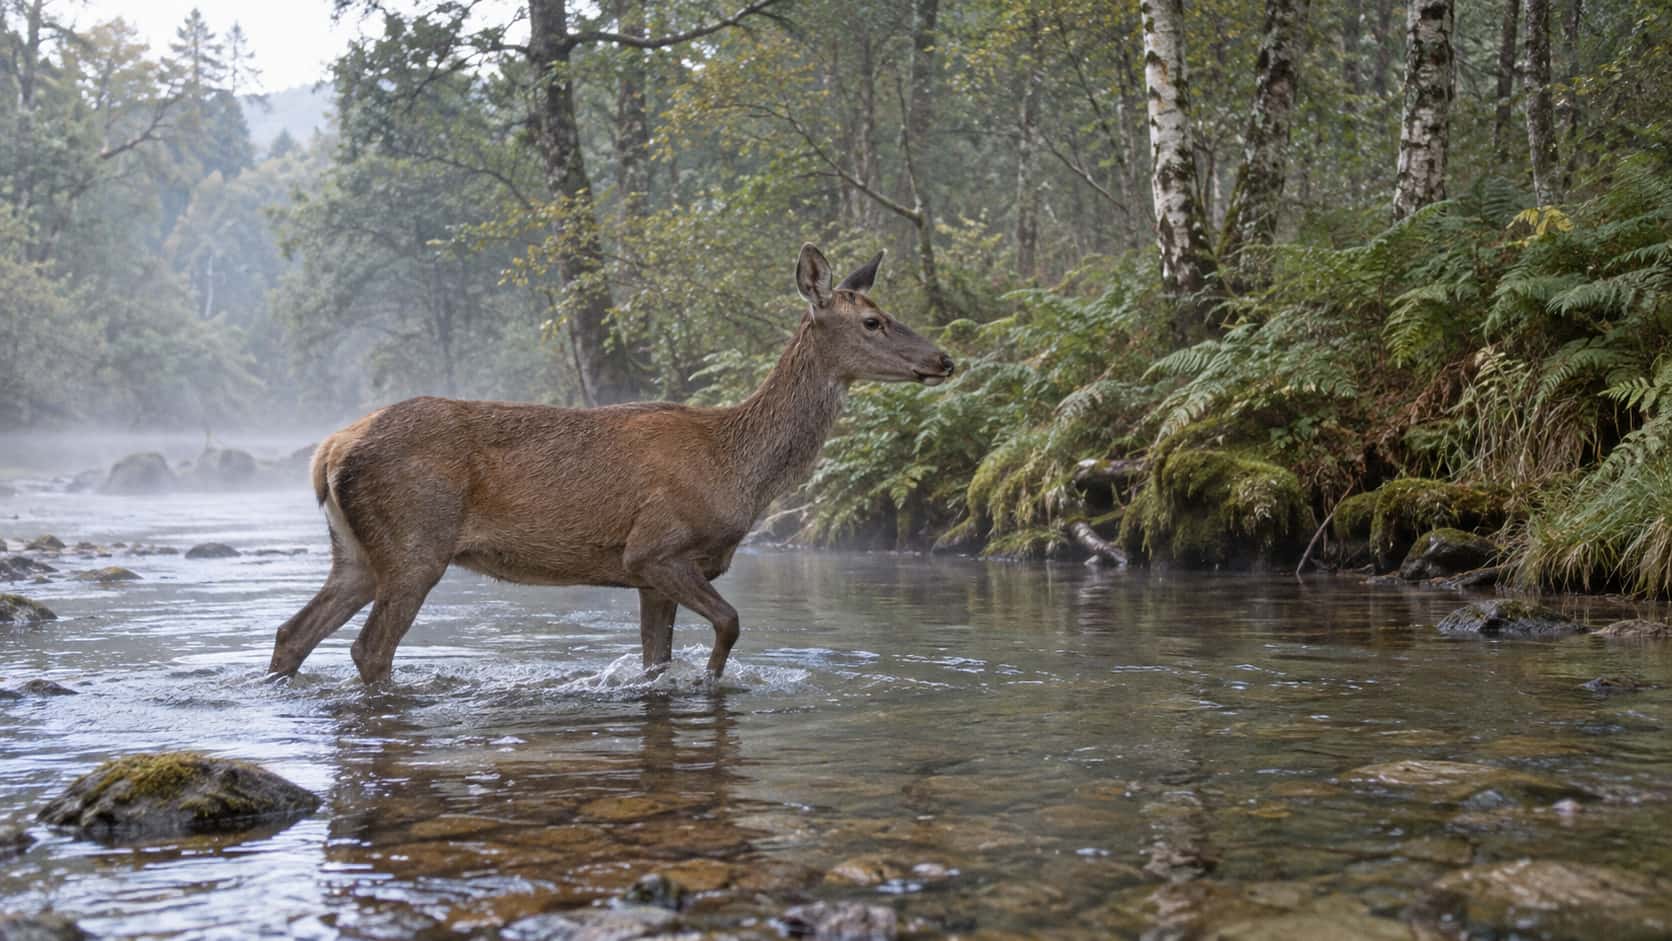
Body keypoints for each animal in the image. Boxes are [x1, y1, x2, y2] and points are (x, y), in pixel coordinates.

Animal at [267, 244, 956, 685]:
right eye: (873, 321)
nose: (944, 359)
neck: (737, 467)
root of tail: (329, 450)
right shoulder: (656, 547)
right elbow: (731, 625)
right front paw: (712, 682)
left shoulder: (651, 576)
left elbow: (657, 660)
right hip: (415, 542)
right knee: (368, 649)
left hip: (356, 554)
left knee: (293, 632)